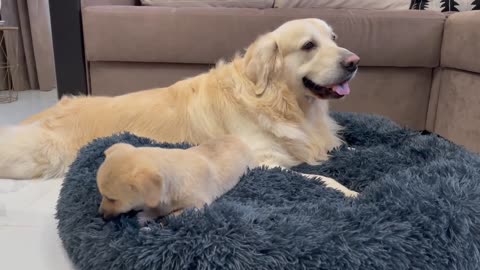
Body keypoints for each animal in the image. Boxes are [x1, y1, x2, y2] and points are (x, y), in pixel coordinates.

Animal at [0, 18, 360, 196]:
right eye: (309, 45)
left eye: (333, 38)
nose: (355, 61)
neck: (282, 102)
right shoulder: (261, 161)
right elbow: (321, 179)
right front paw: (352, 193)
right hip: (40, 153)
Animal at [97, 136, 255, 220]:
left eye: (112, 199)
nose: (100, 215)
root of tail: (240, 138)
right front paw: (147, 215)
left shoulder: (198, 204)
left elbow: (175, 214)